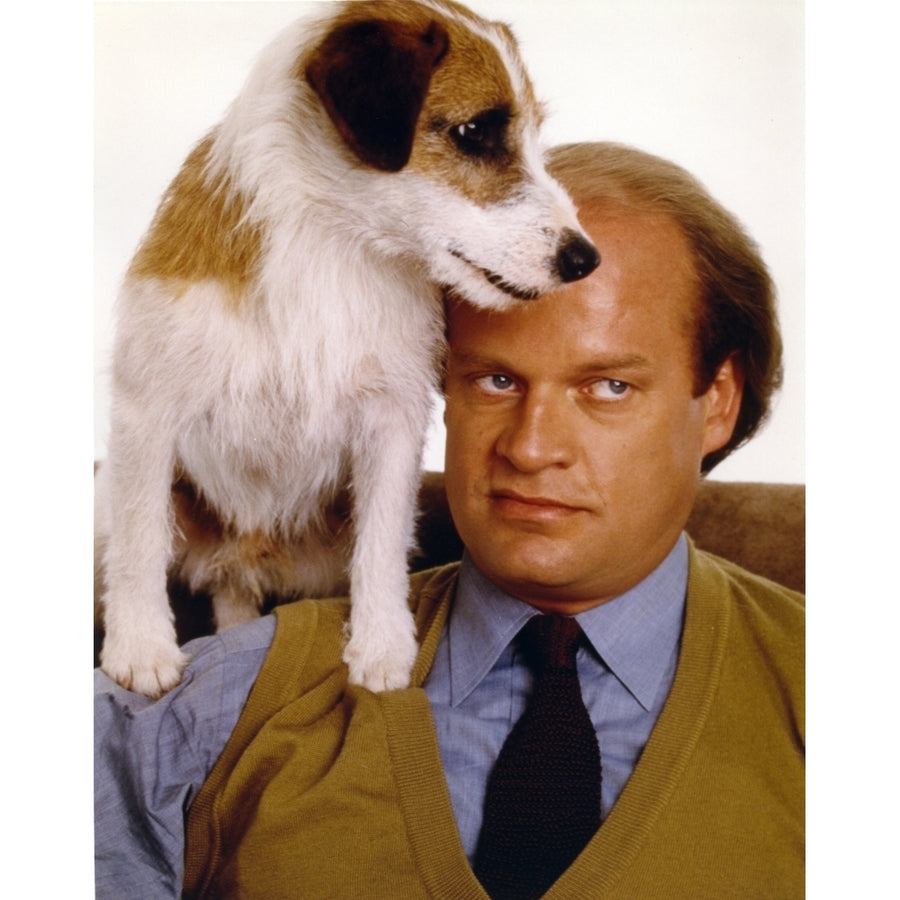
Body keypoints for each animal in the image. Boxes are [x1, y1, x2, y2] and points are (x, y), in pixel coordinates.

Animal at [96, 0, 596, 696]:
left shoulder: (393, 421)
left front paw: (382, 646)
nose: (585, 260)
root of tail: (248, 551)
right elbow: (141, 537)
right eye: (475, 132)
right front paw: (140, 649)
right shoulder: (147, 411)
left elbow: (381, 544)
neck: (333, 243)